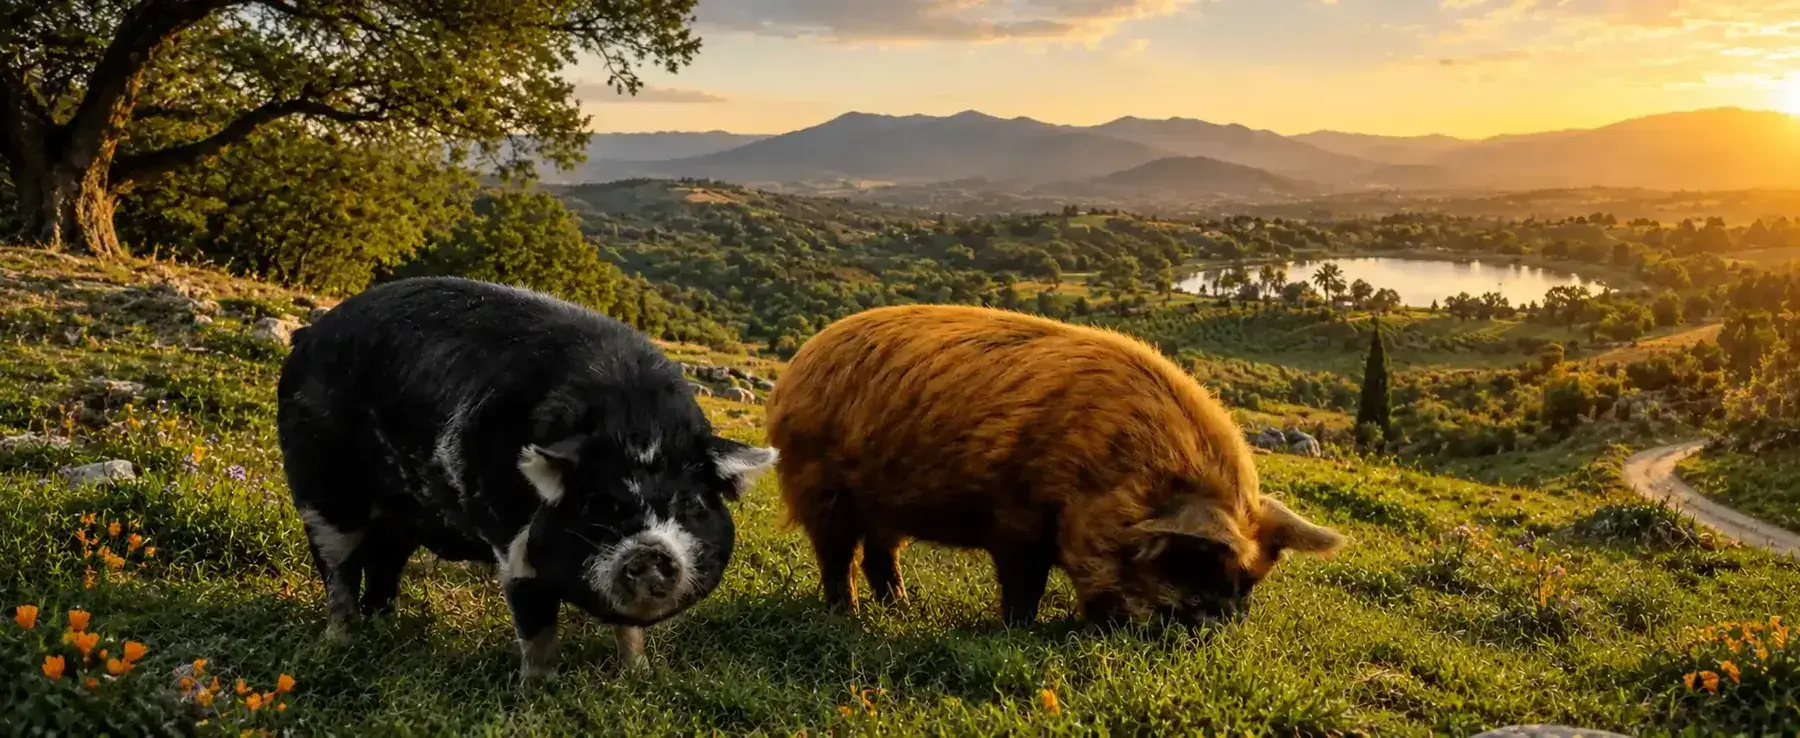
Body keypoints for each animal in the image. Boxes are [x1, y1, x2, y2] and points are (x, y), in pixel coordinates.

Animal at [274, 276, 777, 681]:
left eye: (690, 506)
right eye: (599, 504)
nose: (651, 552)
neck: (637, 425)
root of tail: (308, 336)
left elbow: (627, 630)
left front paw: (642, 676)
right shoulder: (513, 542)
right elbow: (536, 623)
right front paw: (539, 688)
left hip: (402, 517)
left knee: (384, 562)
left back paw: (385, 629)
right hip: (320, 490)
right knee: (338, 566)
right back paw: (339, 643)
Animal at [764, 304, 1344, 628]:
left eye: (1247, 584)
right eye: (1191, 562)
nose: (1217, 628)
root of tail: (796, 367)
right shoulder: (1016, 516)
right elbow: (1025, 581)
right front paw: (1017, 629)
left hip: (885, 505)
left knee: (879, 556)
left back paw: (902, 611)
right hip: (821, 485)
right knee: (837, 556)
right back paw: (848, 614)